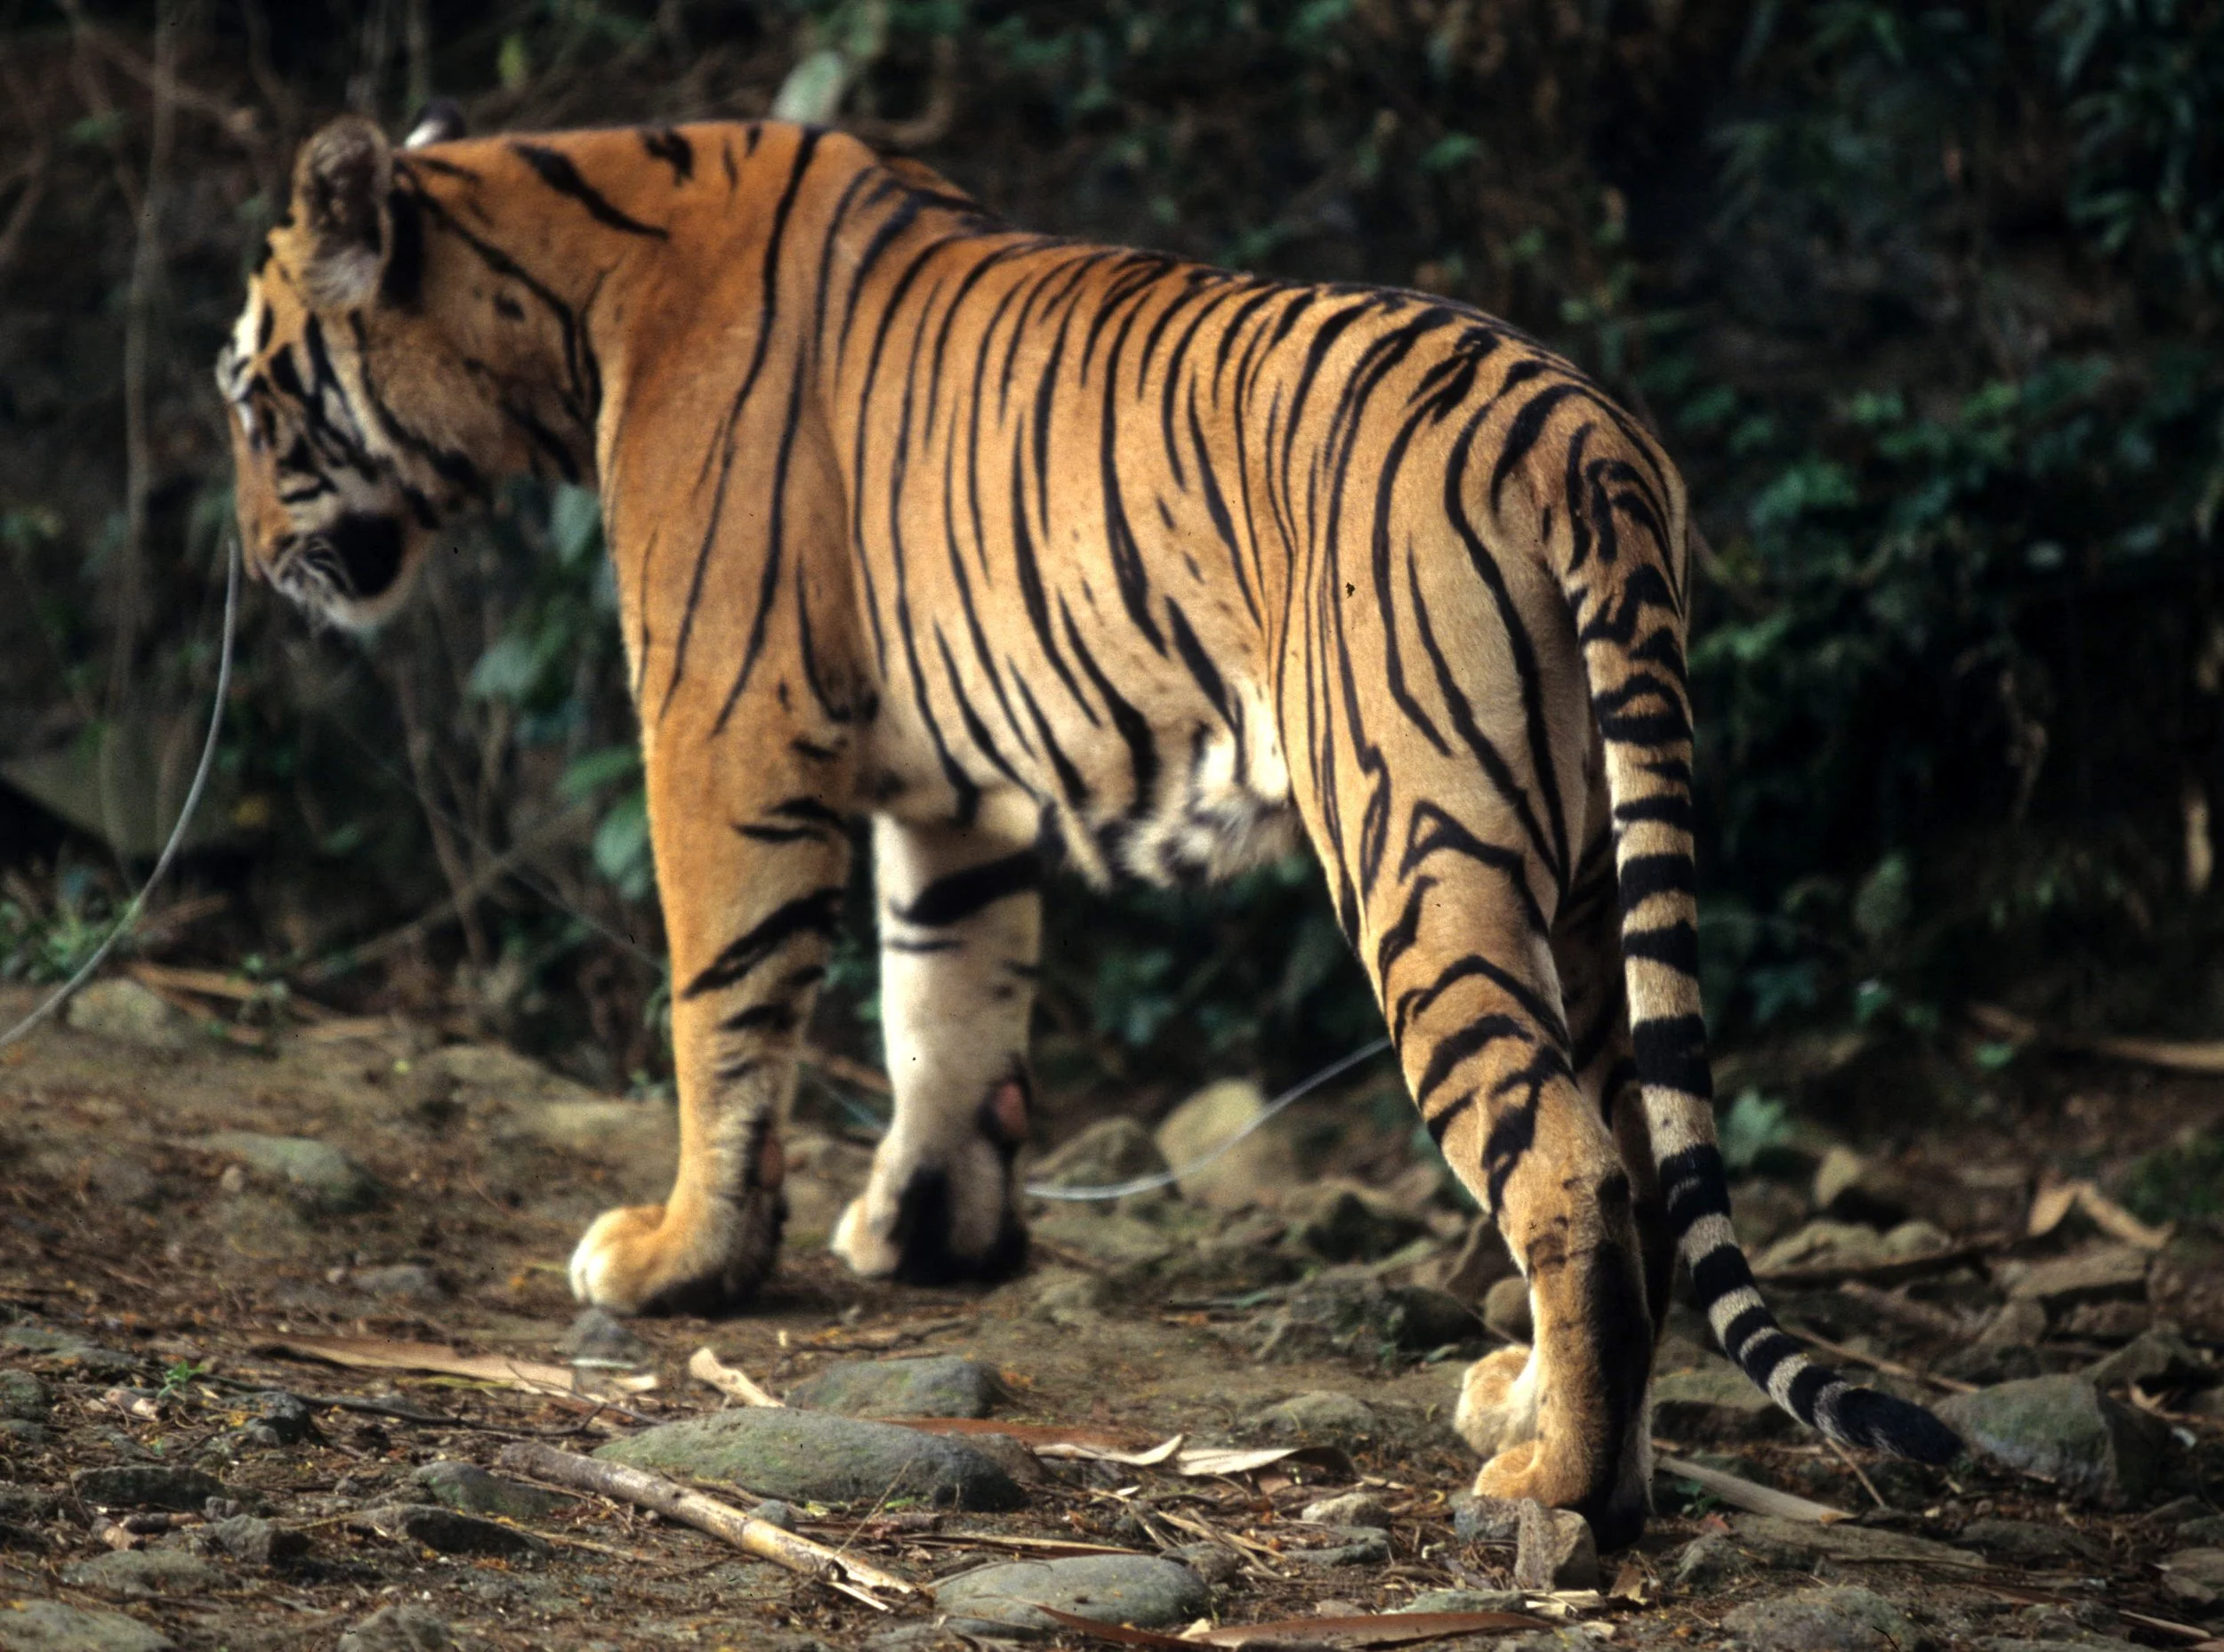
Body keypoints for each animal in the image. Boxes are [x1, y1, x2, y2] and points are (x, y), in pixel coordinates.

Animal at [216, 104, 1960, 1546]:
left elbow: (725, 1001)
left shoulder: (722, 722)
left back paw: (1554, 1491)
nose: (247, 558)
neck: (562, 290)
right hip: (1590, 878)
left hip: (1420, 845)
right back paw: (1546, 1427)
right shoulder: (956, 787)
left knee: (1573, 1172)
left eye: (249, 392)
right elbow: (946, 1004)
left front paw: (679, 1259)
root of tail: (1583, 434)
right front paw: (931, 1237)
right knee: (1645, 1176)